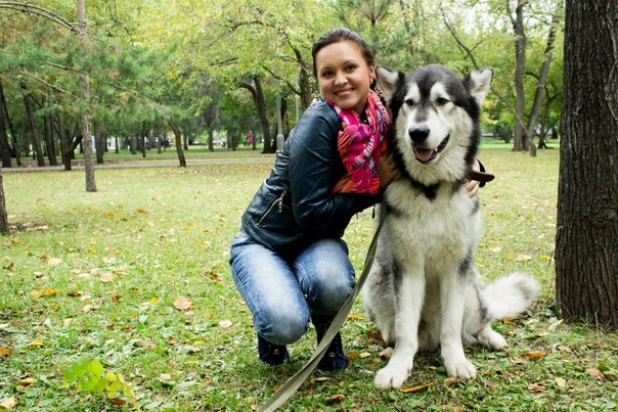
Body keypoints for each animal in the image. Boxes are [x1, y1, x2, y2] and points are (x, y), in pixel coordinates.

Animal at [364, 64, 536, 390]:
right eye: (408, 103)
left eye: (442, 101)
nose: (417, 133)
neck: (432, 189)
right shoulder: (407, 266)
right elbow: (405, 325)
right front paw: (398, 366)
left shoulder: (456, 266)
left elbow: (453, 324)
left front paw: (455, 361)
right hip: (377, 279)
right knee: (395, 326)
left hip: (470, 286)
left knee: (480, 319)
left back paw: (490, 336)